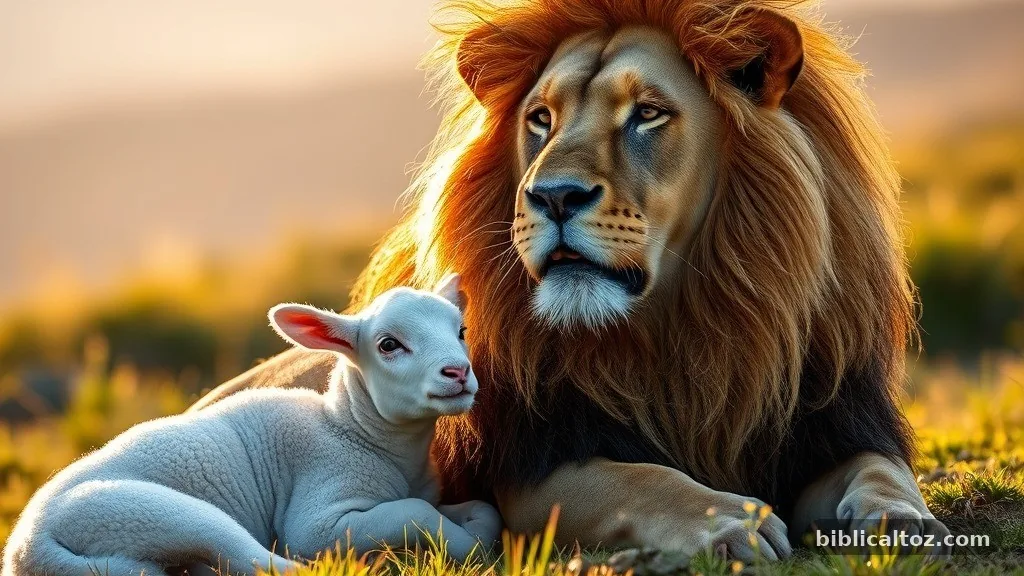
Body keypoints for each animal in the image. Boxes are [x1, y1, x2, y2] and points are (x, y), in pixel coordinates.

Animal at [2, 273, 502, 576]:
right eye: (388, 345)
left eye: (461, 331)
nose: (458, 372)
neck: (357, 431)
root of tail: (28, 549)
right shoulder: (318, 516)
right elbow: (414, 513)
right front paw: (466, 546)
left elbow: (482, 510)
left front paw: (471, 530)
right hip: (144, 511)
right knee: (261, 561)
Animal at [192, 0, 950, 561]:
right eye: (541, 119)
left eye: (647, 112)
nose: (553, 196)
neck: (679, 324)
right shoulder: (533, 466)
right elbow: (637, 480)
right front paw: (727, 519)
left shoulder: (826, 422)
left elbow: (881, 468)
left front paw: (900, 519)